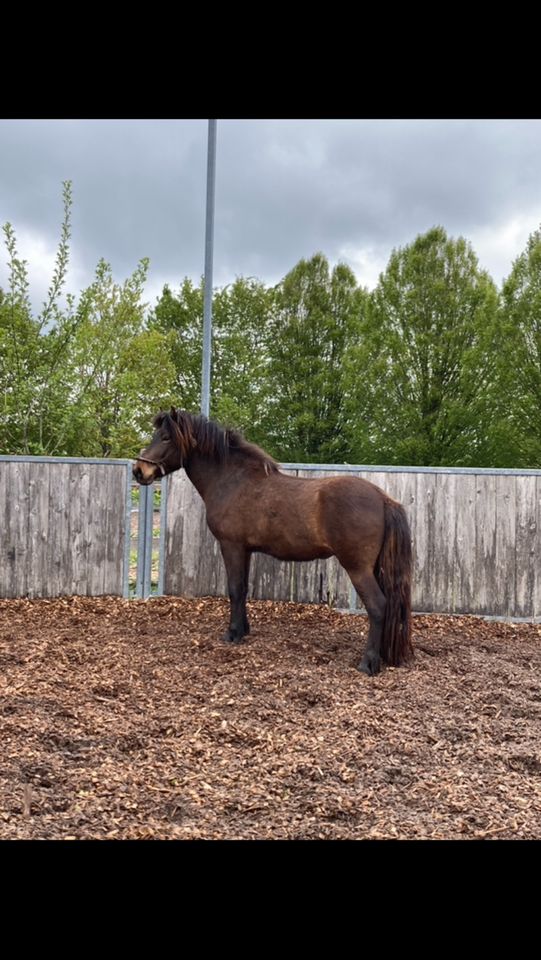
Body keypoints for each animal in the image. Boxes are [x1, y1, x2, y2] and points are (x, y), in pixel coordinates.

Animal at [133, 406, 412, 676]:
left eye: (166, 437)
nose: (139, 471)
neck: (233, 480)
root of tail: (382, 499)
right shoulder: (245, 550)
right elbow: (243, 588)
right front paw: (243, 630)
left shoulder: (231, 546)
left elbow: (234, 588)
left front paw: (232, 633)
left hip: (358, 568)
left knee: (378, 606)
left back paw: (368, 663)